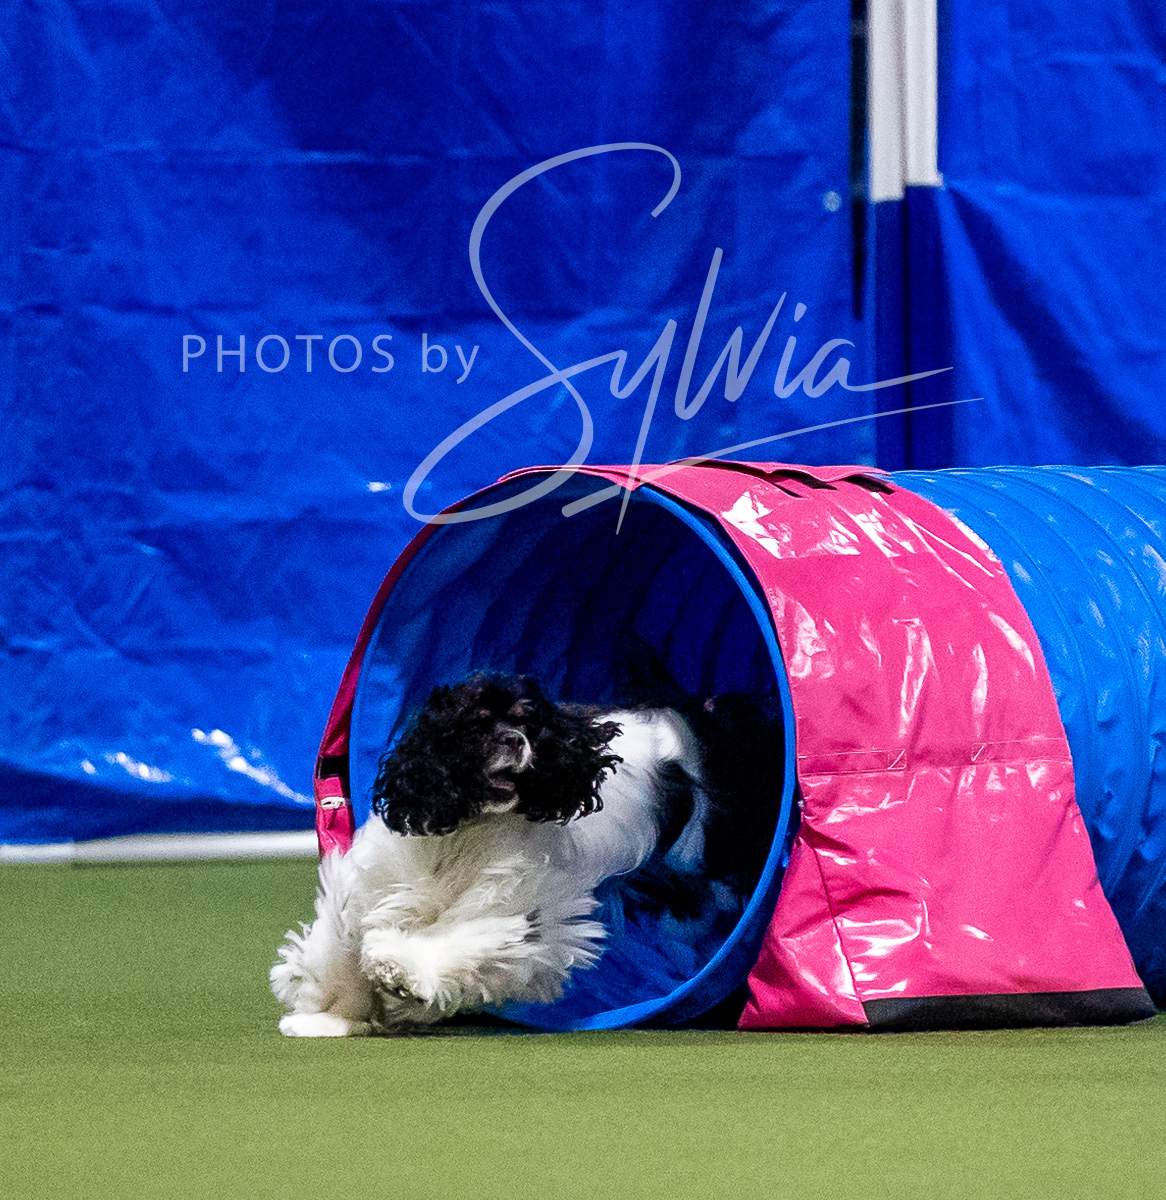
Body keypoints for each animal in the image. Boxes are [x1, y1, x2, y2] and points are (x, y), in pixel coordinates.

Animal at [271, 673, 711, 1036]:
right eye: (476, 724)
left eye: (526, 723)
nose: (515, 740)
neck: (472, 827)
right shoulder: (382, 880)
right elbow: (345, 946)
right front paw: (329, 1017)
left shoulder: (514, 905)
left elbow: (454, 939)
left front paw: (396, 968)